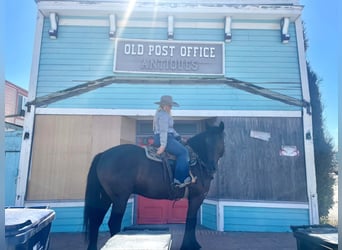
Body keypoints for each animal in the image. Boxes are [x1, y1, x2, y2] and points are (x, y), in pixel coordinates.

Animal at [84, 120, 226, 248]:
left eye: (220, 140)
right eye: (206, 141)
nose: (212, 167)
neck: (197, 161)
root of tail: (103, 154)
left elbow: (190, 220)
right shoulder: (197, 197)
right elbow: (191, 221)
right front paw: (190, 245)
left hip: (105, 197)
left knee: (95, 221)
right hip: (120, 198)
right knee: (113, 223)